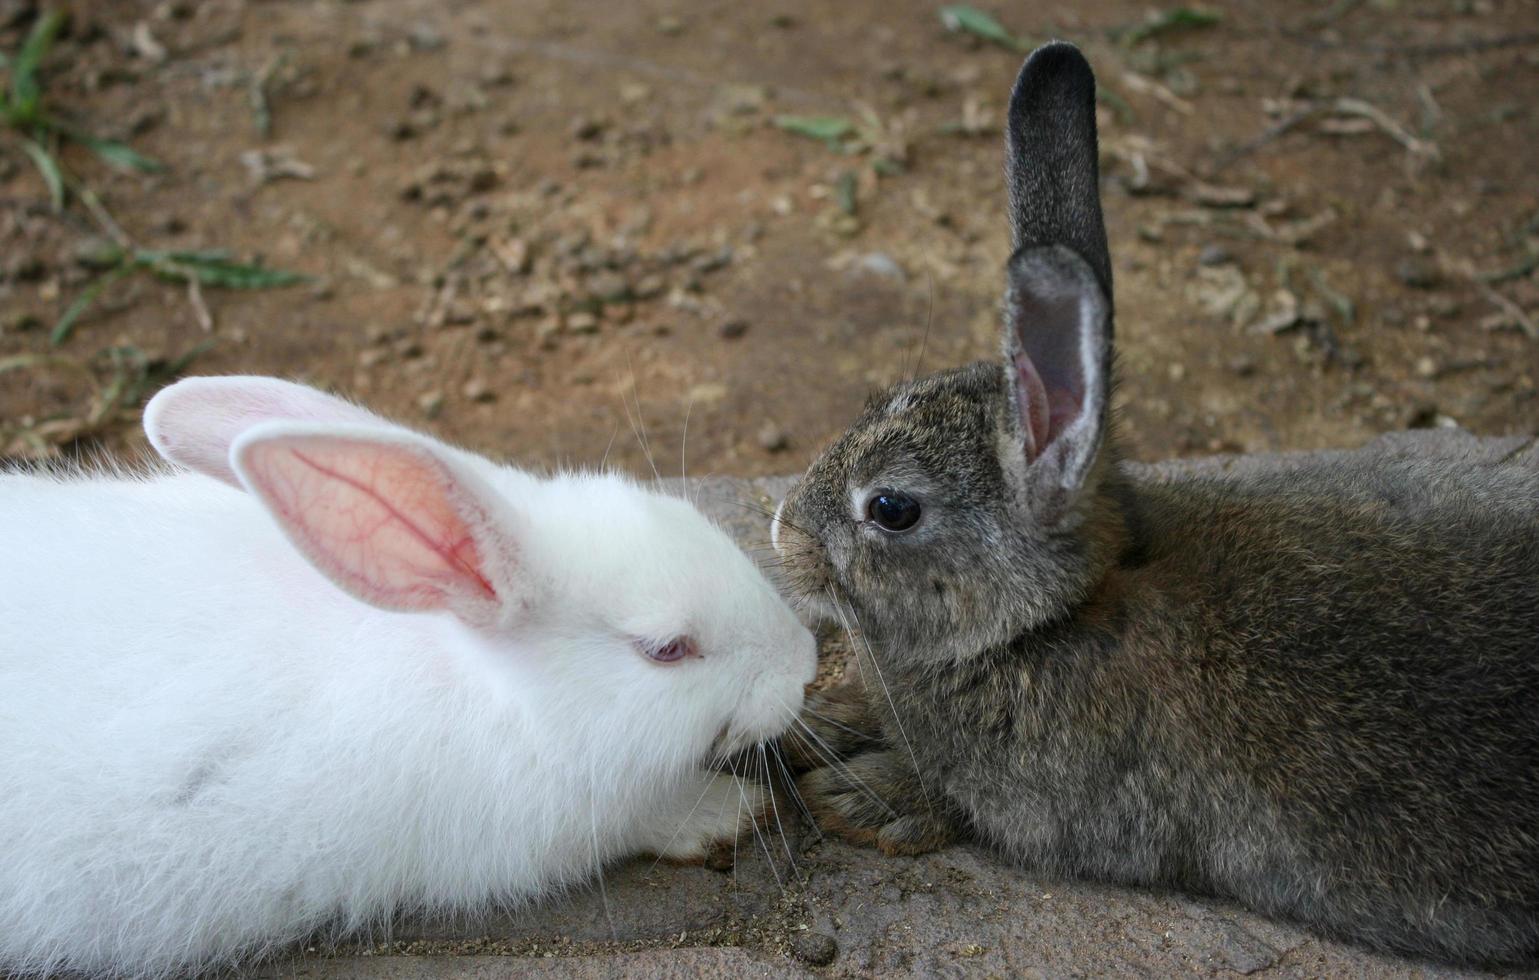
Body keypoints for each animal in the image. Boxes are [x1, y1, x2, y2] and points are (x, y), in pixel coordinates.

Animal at [775, 42, 1539, 966]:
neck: (1046, 622)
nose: (781, 531)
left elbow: (951, 803)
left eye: (890, 508)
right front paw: (820, 717)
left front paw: (853, 794)